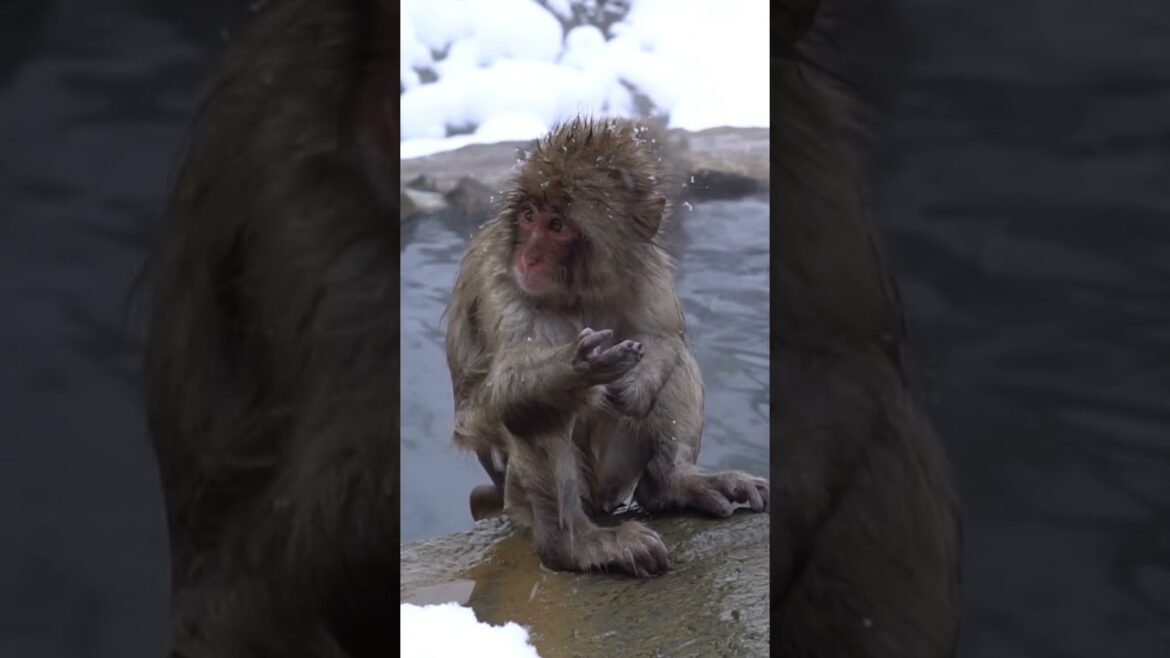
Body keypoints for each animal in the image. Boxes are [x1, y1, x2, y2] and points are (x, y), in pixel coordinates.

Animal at [443, 116, 770, 579]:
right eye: (528, 216)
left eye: (558, 226)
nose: (529, 257)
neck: (578, 290)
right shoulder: (503, 285)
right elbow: (509, 391)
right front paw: (577, 368)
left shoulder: (649, 269)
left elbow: (663, 339)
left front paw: (635, 384)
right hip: (529, 494)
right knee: (534, 410)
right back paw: (573, 545)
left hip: (615, 470)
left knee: (678, 362)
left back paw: (673, 484)